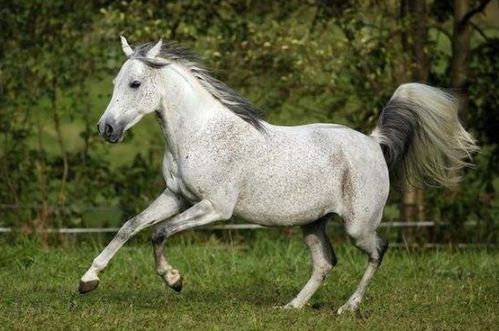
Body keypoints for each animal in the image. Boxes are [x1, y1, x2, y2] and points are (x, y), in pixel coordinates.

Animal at [80, 37, 478, 314]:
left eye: (134, 84)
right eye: (115, 82)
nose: (106, 129)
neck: (199, 133)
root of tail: (373, 142)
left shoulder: (214, 207)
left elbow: (159, 233)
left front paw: (174, 280)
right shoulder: (176, 196)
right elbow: (130, 227)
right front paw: (88, 280)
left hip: (357, 226)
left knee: (378, 250)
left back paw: (348, 307)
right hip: (313, 223)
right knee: (324, 263)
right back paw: (292, 307)